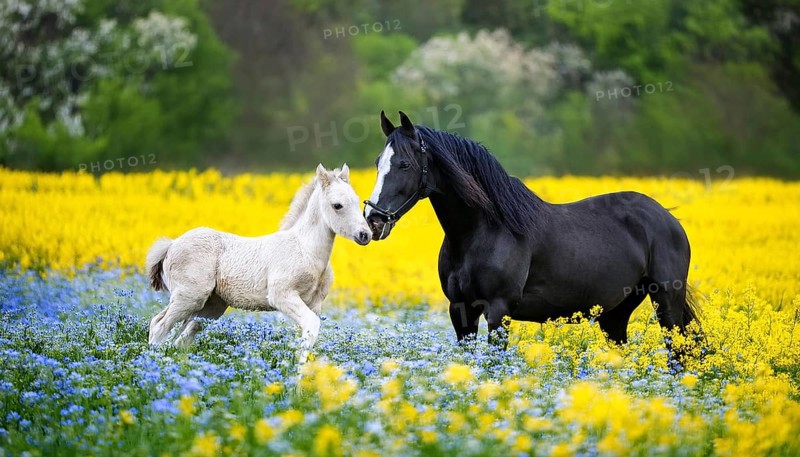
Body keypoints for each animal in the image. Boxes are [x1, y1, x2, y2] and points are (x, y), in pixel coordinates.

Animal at [146, 164, 371, 362]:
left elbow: (307, 332)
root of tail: (171, 244)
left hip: (210, 306)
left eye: (357, 201)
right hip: (190, 297)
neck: (306, 249)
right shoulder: (281, 296)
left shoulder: (314, 303)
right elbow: (311, 327)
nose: (365, 235)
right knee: (159, 325)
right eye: (337, 205)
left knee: (181, 339)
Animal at [364, 111, 701, 364]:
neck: (482, 231)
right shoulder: (461, 310)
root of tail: (667, 217)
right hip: (615, 314)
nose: (374, 220)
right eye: (378, 161)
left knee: (678, 355)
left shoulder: (498, 311)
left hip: (666, 303)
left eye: (404, 164)